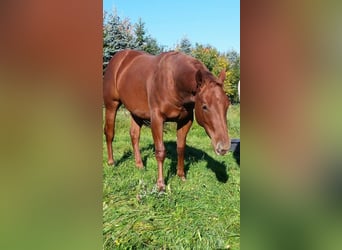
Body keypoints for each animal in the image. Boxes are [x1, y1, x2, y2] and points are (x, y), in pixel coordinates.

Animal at [101, 49, 230, 191]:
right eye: (204, 106)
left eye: (227, 105)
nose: (224, 147)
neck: (173, 81)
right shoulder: (157, 119)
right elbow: (160, 151)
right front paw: (161, 184)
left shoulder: (185, 121)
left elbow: (181, 148)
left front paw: (181, 176)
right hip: (111, 105)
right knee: (109, 133)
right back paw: (111, 162)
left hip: (136, 111)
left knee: (134, 135)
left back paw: (139, 165)